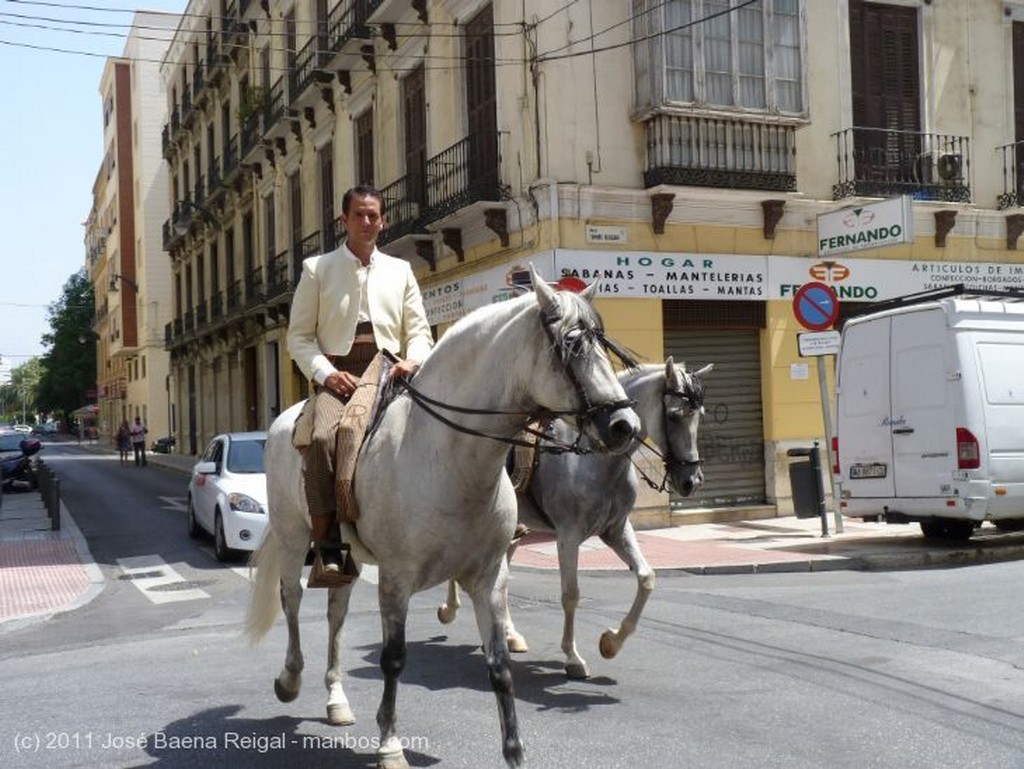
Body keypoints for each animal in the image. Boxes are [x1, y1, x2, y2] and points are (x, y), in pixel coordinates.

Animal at [242, 274, 634, 769]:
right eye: (570, 346)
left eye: (601, 343)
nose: (625, 425)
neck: (448, 455)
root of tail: (287, 420)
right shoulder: (396, 579)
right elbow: (393, 659)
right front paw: (390, 745)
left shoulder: (489, 578)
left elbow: (500, 667)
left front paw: (514, 751)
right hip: (294, 537)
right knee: (291, 599)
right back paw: (290, 679)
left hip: (345, 558)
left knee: (336, 612)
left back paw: (336, 700)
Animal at [436, 358, 708, 675]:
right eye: (675, 416)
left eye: (699, 415)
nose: (691, 481)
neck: (595, 457)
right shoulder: (568, 535)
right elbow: (571, 594)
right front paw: (573, 657)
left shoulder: (616, 530)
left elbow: (646, 578)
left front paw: (611, 642)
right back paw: (450, 610)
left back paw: (509, 634)